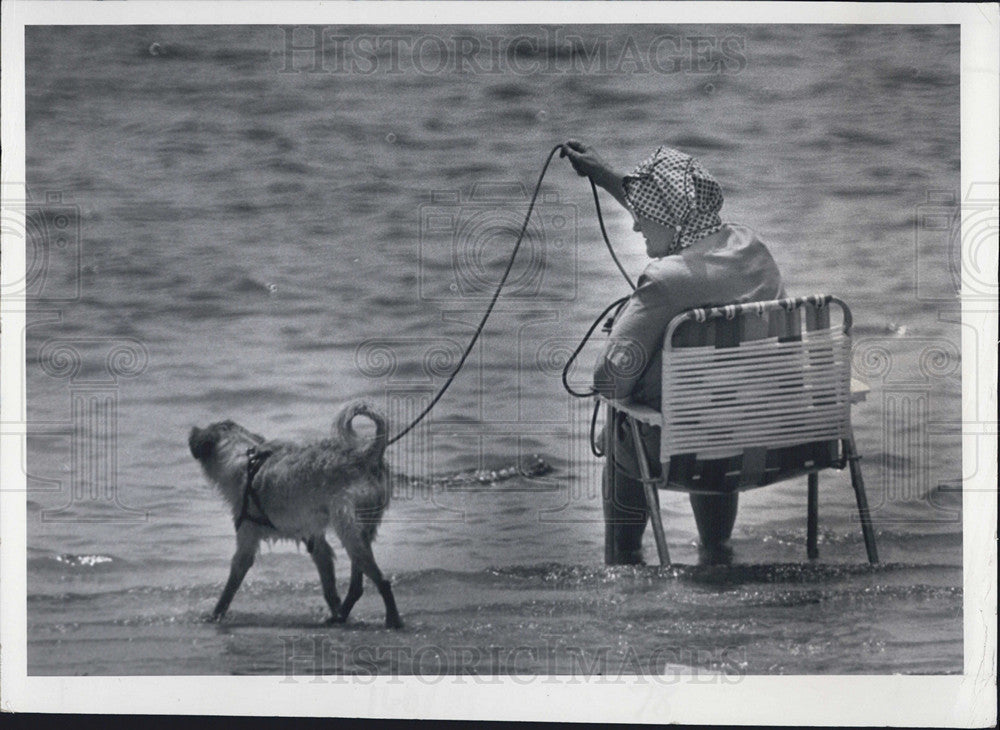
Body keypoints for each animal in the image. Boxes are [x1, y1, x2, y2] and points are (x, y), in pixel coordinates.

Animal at [188, 398, 402, 624]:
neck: (243, 460)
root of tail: (367, 455)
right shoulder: (315, 542)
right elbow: (328, 585)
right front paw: (335, 607)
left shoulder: (246, 540)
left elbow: (230, 587)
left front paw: (215, 616)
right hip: (362, 532)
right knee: (357, 586)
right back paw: (340, 616)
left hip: (349, 531)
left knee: (382, 581)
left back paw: (392, 620)